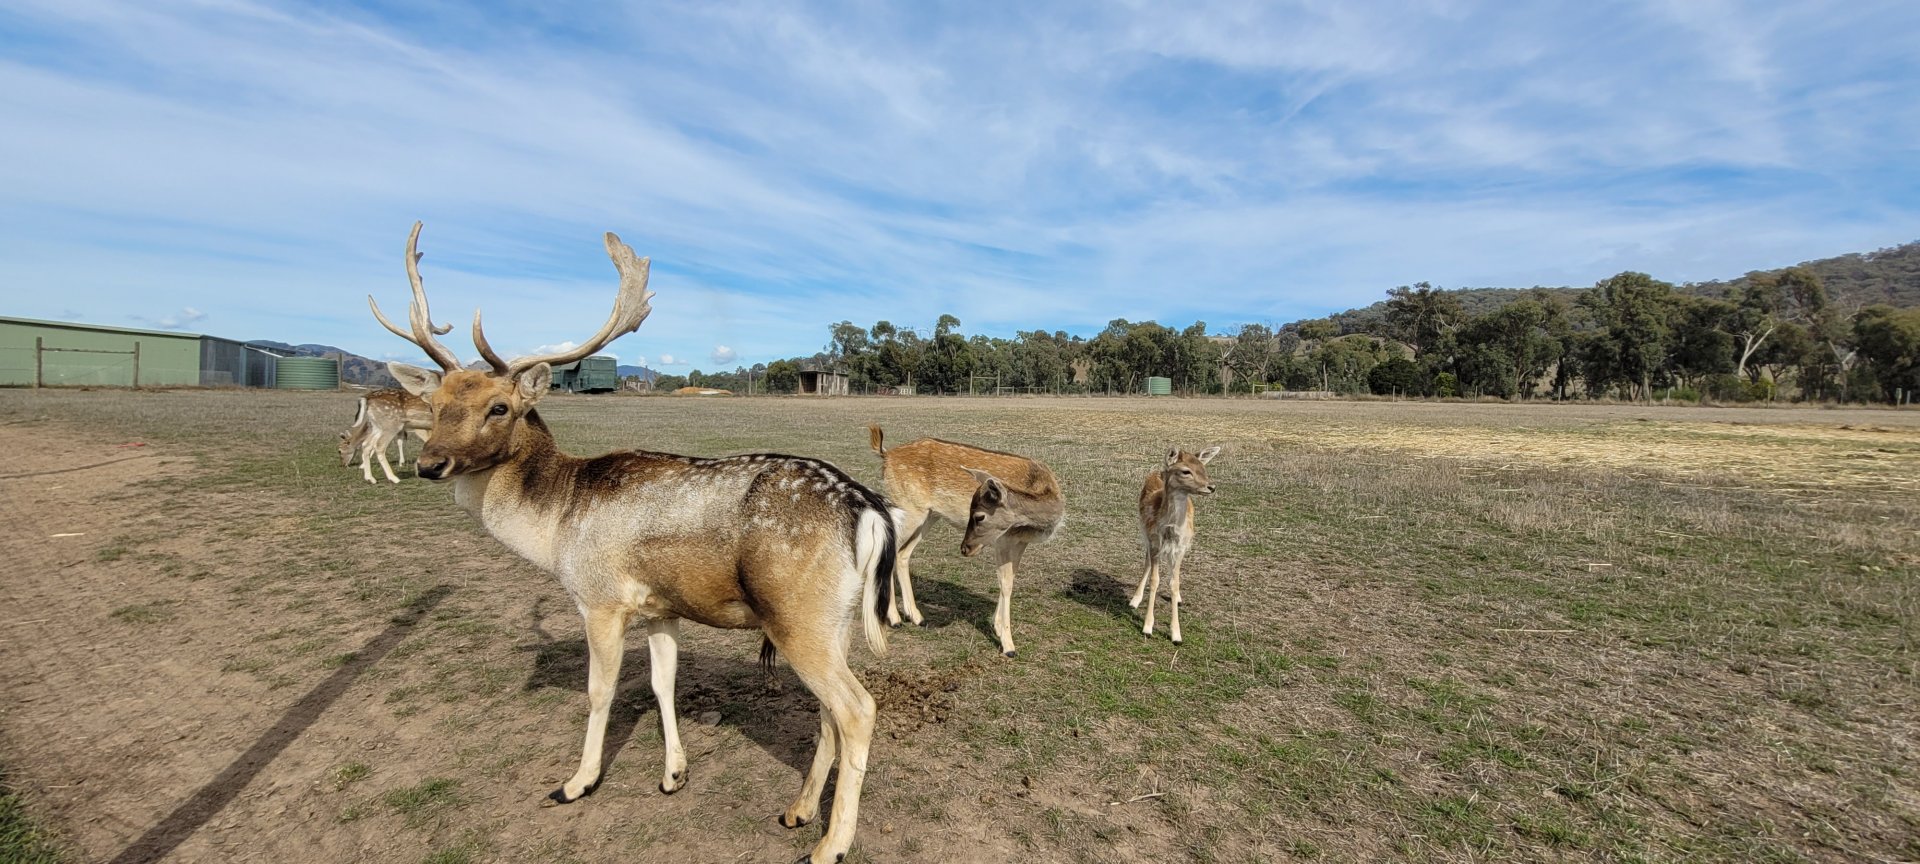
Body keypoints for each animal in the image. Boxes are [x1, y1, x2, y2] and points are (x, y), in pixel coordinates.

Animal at [373, 223, 897, 864]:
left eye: (500, 407)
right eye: (435, 404)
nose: (430, 464)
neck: (555, 525)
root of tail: (866, 508)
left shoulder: (600, 599)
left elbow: (600, 691)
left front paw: (576, 783)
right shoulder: (661, 607)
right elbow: (661, 684)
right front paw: (674, 774)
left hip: (798, 614)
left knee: (858, 709)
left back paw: (831, 844)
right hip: (832, 619)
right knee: (829, 712)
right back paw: (796, 811)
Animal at [867, 426, 1064, 658]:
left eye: (978, 516)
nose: (965, 548)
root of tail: (886, 455)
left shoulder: (1020, 542)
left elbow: (1010, 580)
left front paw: (997, 626)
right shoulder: (1004, 540)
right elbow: (1005, 582)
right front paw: (1008, 645)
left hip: (930, 515)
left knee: (902, 553)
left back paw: (916, 616)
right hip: (908, 508)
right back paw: (895, 619)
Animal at [1131, 447, 1221, 645]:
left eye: (1203, 467)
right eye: (1186, 471)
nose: (1211, 487)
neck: (1170, 529)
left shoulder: (1180, 548)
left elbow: (1174, 583)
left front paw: (1176, 635)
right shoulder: (1154, 542)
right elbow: (1155, 580)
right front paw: (1147, 627)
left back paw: (1178, 598)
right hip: (1145, 534)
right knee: (1147, 562)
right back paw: (1135, 599)